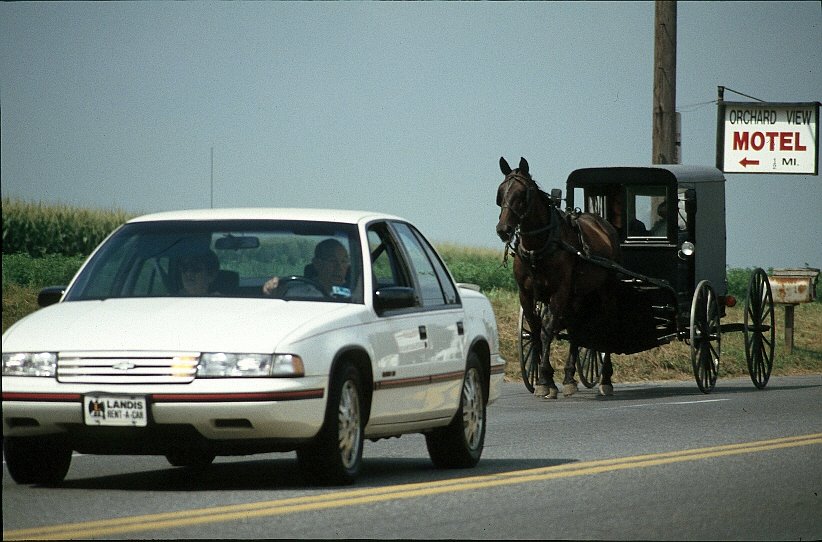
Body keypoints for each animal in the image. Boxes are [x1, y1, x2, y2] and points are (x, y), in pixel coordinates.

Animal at [496, 157, 624, 400]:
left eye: (522, 193)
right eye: (500, 193)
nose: (503, 229)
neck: (538, 247)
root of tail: (605, 226)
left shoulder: (558, 292)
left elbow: (547, 332)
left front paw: (544, 381)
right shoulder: (526, 294)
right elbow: (536, 331)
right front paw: (545, 379)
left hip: (605, 291)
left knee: (604, 325)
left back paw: (605, 379)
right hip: (577, 296)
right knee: (575, 330)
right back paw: (569, 378)